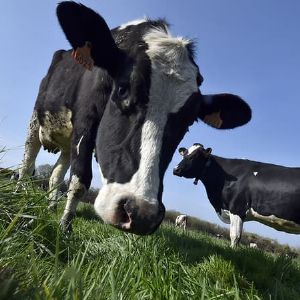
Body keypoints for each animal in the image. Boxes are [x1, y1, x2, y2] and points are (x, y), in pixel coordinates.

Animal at [18, 1, 252, 234]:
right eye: (123, 90)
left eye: (190, 120)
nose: (141, 213)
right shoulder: (85, 124)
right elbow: (80, 181)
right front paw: (65, 228)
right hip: (36, 120)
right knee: (27, 163)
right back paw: (20, 197)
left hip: (67, 143)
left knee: (55, 176)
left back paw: (51, 207)